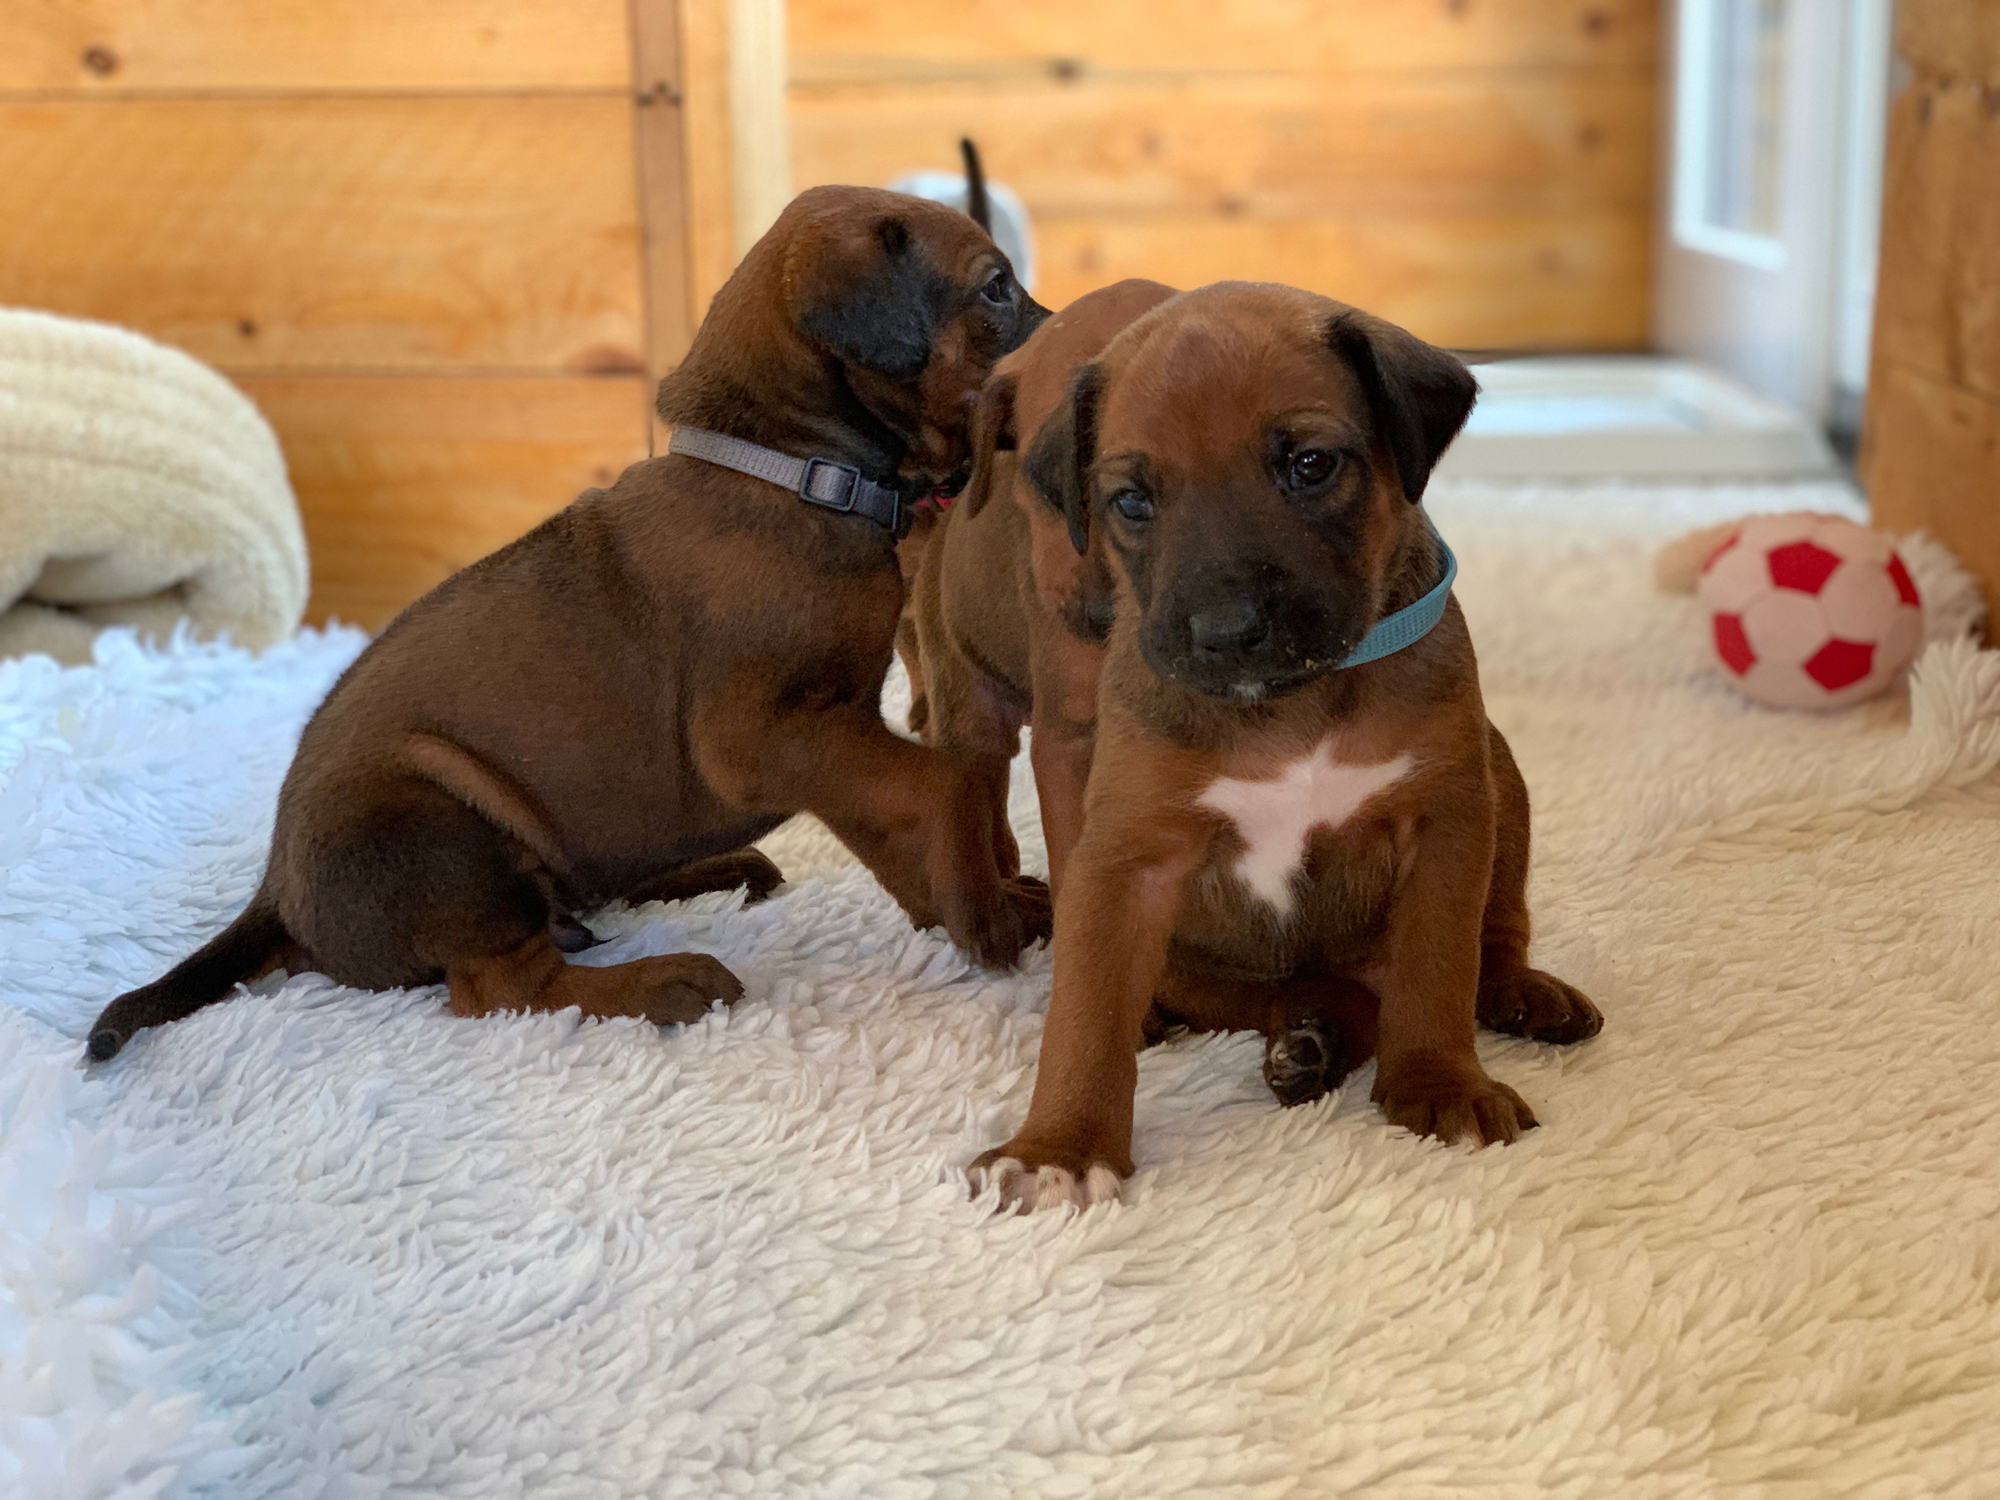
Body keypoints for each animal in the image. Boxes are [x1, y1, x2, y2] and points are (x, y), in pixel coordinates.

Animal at [86, 185, 1051, 1063]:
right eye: (996, 287)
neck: (789, 468)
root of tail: (276, 895)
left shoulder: (832, 727)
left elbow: (889, 824)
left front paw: (965, 908)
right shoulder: (763, 733)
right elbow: (940, 782)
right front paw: (984, 911)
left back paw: (709, 873)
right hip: (436, 824)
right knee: (502, 987)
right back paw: (661, 982)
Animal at [906, 281, 1602, 1213]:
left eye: (1310, 465)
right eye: (1132, 501)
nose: (1226, 630)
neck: (1290, 705)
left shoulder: (1447, 819)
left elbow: (1438, 966)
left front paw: (1441, 1085)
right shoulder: (1125, 861)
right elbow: (1086, 1016)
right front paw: (1061, 1148)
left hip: (1499, 775)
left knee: (1488, 936)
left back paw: (1513, 993)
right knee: (1285, 995)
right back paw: (1308, 1040)